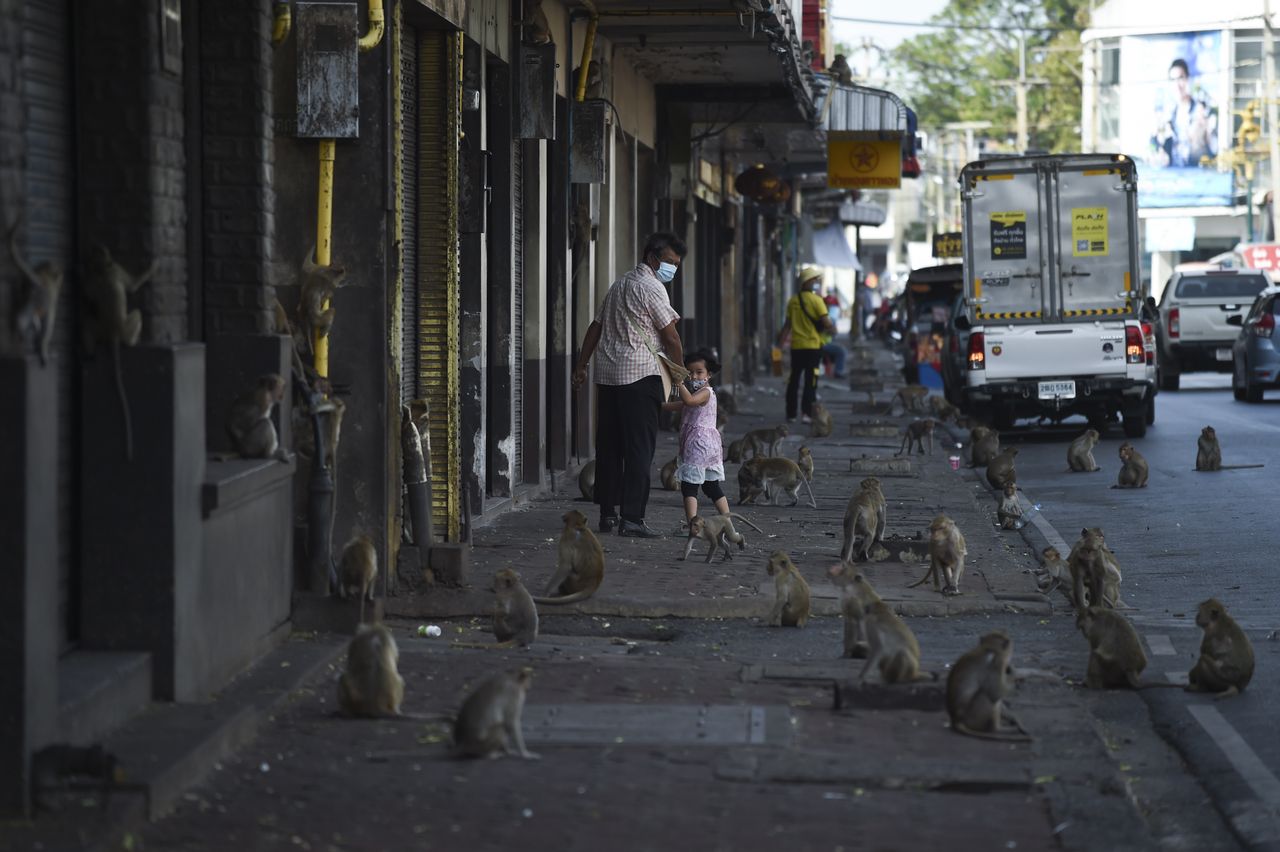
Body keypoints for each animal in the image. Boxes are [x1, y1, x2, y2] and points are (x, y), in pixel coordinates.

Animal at [7, 216, 62, 365]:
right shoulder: (51, 298)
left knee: (24, 314)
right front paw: (42, 347)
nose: (60, 280)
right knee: (36, 317)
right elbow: (48, 322)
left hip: (28, 293)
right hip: (40, 296)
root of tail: (37, 281)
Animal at [81, 241, 155, 460]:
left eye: (96, 251)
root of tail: (114, 332)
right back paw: (132, 342)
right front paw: (151, 267)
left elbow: (87, 295)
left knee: (88, 323)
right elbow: (133, 286)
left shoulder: (96, 276)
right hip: (126, 328)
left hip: (100, 330)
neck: (103, 268)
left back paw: (89, 354)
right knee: (137, 314)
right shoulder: (117, 269)